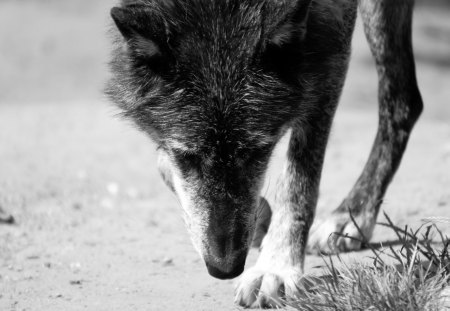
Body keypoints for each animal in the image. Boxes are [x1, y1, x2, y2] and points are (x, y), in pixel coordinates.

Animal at [107, 0, 424, 308]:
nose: (225, 268)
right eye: (188, 157)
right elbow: (166, 164)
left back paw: (352, 214)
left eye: (258, 151)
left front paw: (276, 266)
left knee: (402, 101)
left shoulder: (331, 41)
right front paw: (260, 219)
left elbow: (299, 181)